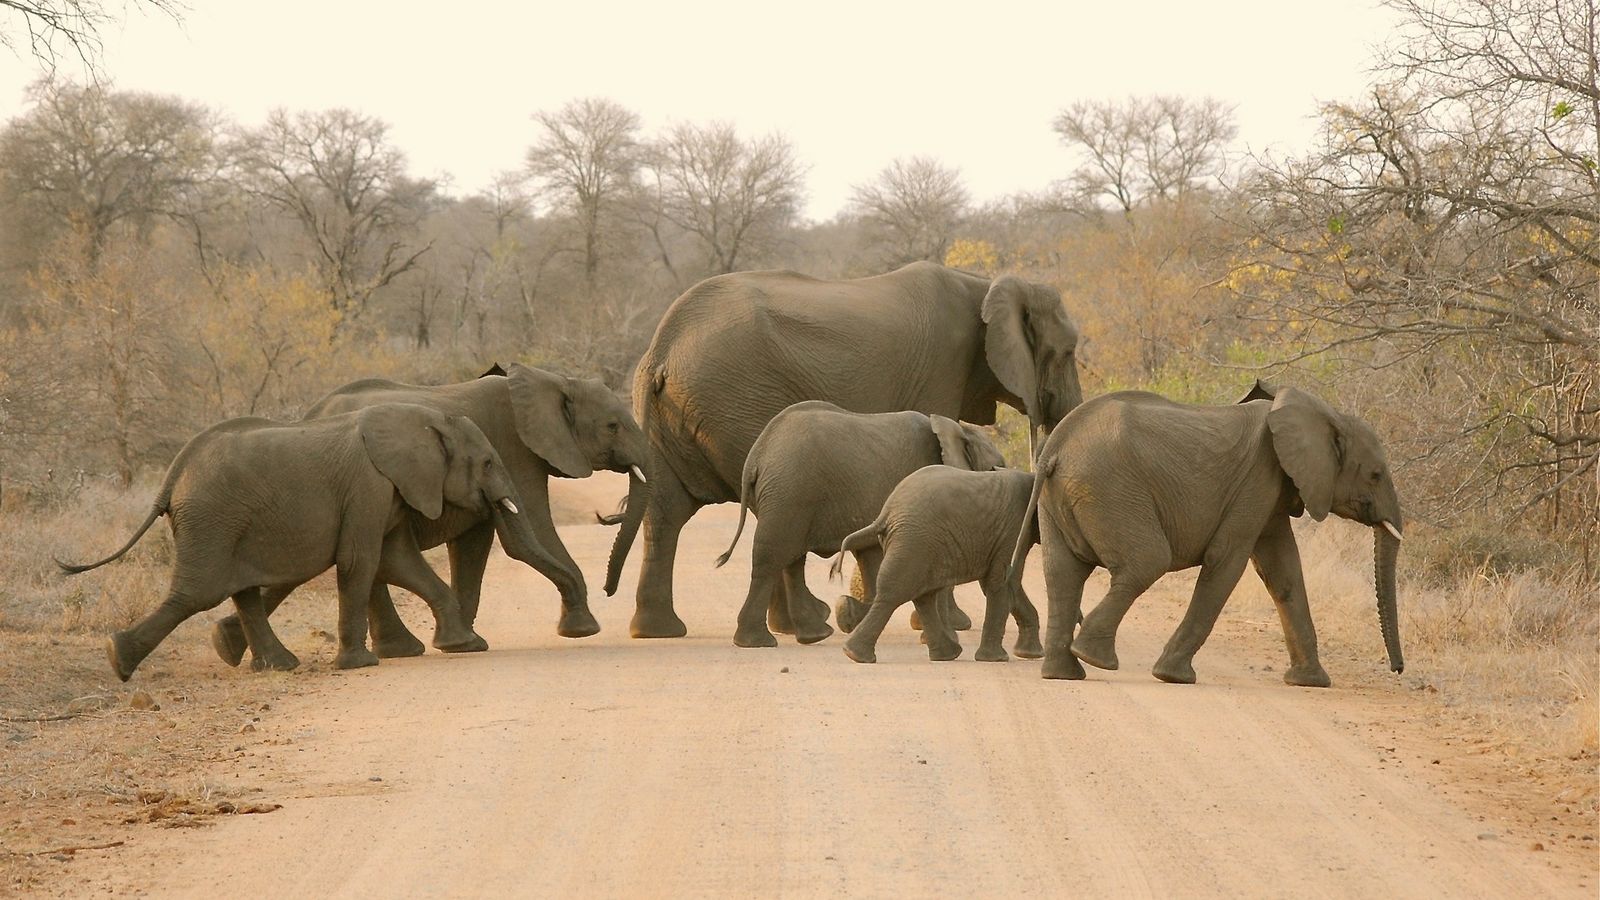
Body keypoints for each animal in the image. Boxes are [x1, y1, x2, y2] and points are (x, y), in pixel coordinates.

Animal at [59, 403, 554, 680]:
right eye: (487, 462)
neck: (422, 420)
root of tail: (171, 477)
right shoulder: (367, 486)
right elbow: (361, 561)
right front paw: (360, 665)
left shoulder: (390, 489)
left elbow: (397, 560)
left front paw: (465, 646)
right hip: (212, 520)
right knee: (197, 593)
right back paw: (118, 660)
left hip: (226, 524)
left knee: (241, 591)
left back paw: (276, 666)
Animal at [207, 363, 650, 670]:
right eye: (613, 426)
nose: (610, 591)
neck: (554, 380)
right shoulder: (515, 453)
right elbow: (529, 538)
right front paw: (582, 629)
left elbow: (473, 548)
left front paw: (462, 638)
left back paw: (226, 646)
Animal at [712, 401, 1006, 648]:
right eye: (996, 468)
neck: (958, 429)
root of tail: (757, 454)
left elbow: (871, 558)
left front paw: (850, 615)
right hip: (789, 491)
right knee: (773, 558)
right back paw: (759, 642)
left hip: (788, 497)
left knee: (790, 559)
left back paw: (814, 634)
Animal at [835, 466, 1042, 664]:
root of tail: (885, 512)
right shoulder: (1013, 530)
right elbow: (1003, 582)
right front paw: (999, 659)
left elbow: (1004, 585)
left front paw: (1030, 654)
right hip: (914, 540)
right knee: (896, 593)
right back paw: (855, 654)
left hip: (920, 545)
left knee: (922, 596)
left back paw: (946, 655)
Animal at [1010, 384, 1405, 687]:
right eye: (1375, 475)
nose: (1398, 669)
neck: (1324, 414)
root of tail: (1056, 446)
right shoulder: (1257, 480)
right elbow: (1227, 563)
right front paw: (1173, 677)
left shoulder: (1272, 493)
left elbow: (1283, 572)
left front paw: (1311, 683)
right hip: (1110, 489)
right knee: (1147, 562)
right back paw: (1095, 659)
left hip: (1062, 497)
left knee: (1062, 573)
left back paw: (1064, 673)